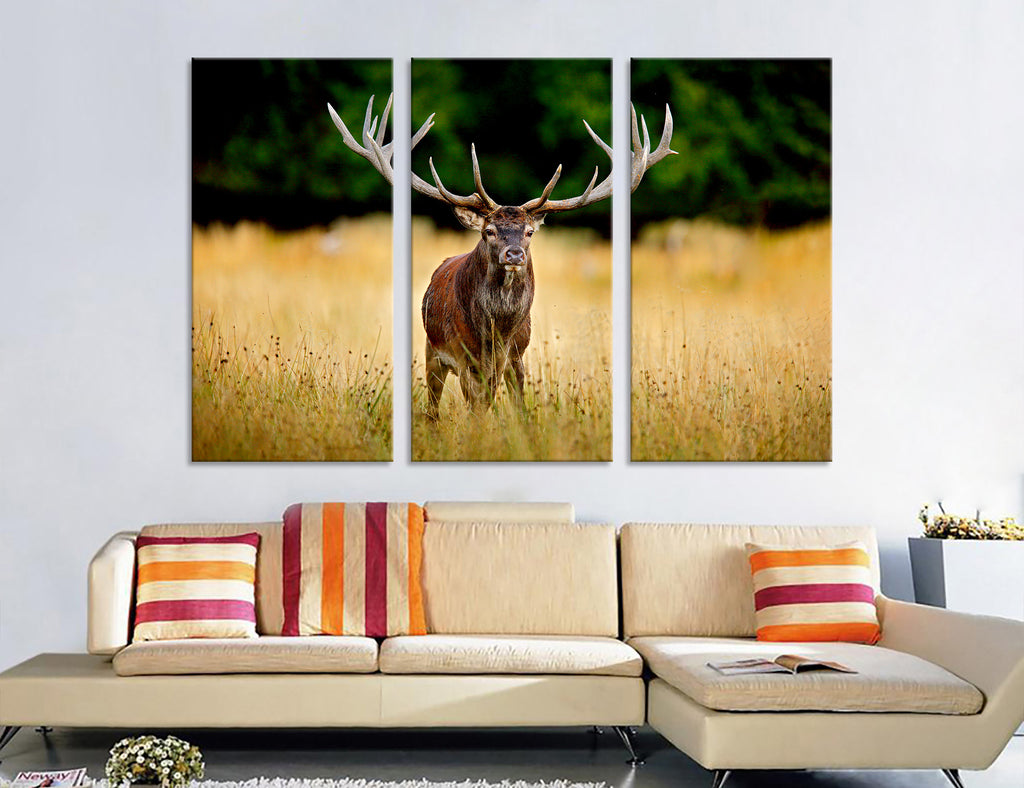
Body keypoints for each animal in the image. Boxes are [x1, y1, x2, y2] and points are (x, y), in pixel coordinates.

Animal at [327, 94, 675, 420]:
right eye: (490, 231)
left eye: (529, 231)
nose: (514, 254)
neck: (496, 333)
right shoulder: (464, 357)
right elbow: (477, 411)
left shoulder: (515, 354)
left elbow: (516, 407)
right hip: (432, 352)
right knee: (433, 410)